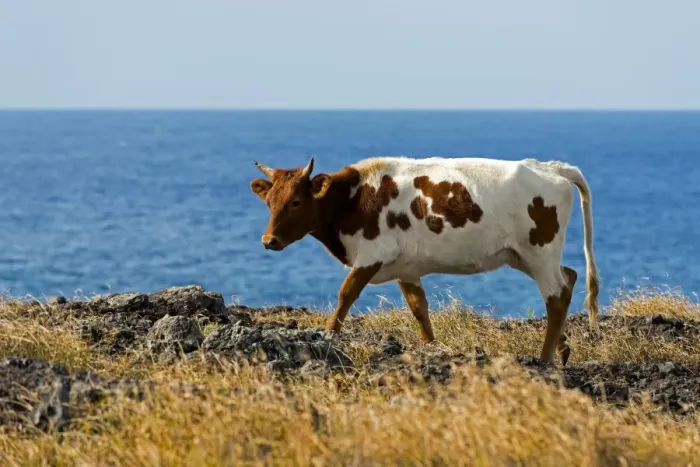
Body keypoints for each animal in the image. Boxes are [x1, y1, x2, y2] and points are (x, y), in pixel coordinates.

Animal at [250, 155, 600, 365]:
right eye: (269, 201)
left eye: (296, 201)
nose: (269, 241)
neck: (353, 199)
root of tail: (550, 167)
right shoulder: (405, 267)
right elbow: (419, 308)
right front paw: (432, 349)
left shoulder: (372, 254)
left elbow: (345, 295)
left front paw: (328, 336)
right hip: (523, 256)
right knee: (569, 276)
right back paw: (562, 349)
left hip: (539, 251)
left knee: (557, 295)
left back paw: (545, 359)